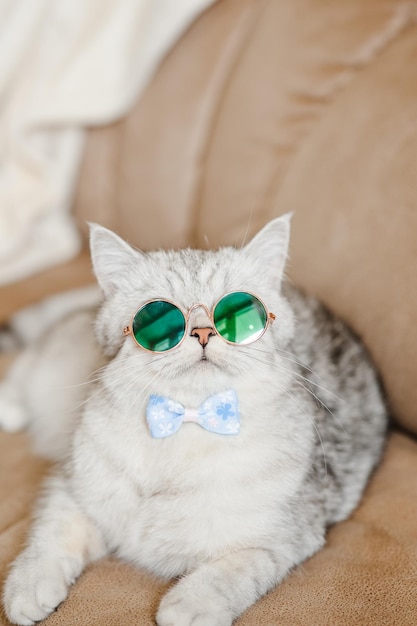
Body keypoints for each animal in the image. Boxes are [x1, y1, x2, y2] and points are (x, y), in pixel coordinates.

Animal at [0, 214, 386, 624]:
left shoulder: (283, 539)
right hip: (55, 364)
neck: (184, 422)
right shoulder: (71, 488)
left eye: (241, 313)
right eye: (157, 318)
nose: (203, 332)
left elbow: (232, 571)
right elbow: (49, 537)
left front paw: (189, 604)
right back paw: (10, 405)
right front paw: (29, 584)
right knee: (30, 359)